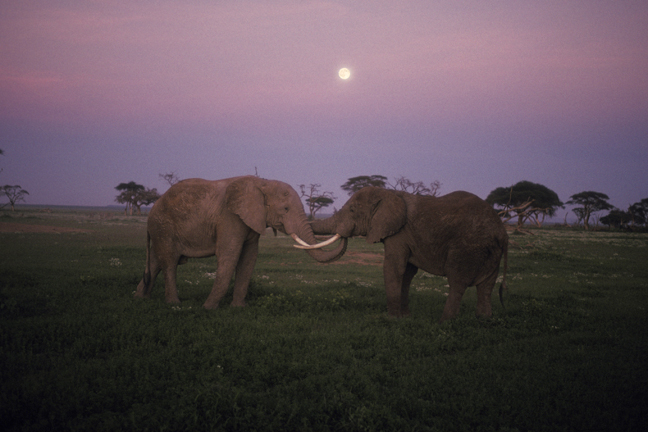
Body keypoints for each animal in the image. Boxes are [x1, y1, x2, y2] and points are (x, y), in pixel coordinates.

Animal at [134, 177, 346, 308]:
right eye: (285, 209)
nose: (344, 233)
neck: (263, 183)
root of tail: (151, 210)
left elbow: (249, 258)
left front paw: (238, 307)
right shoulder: (230, 217)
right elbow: (230, 255)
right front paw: (208, 308)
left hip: (161, 230)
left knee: (156, 261)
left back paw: (141, 297)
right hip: (164, 226)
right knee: (169, 262)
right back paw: (173, 304)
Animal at [306, 187, 512, 322]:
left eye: (352, 210)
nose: (344, 233)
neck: (390, 193)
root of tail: (502, 232)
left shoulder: (399, 234)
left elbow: (393, 268)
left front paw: (391, 318)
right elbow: (407, 273)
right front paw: (405, 317)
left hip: (467, 247)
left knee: (457, 281)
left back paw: (445, 321)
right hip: (491, 251)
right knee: (486, 286)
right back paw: (483, 320)